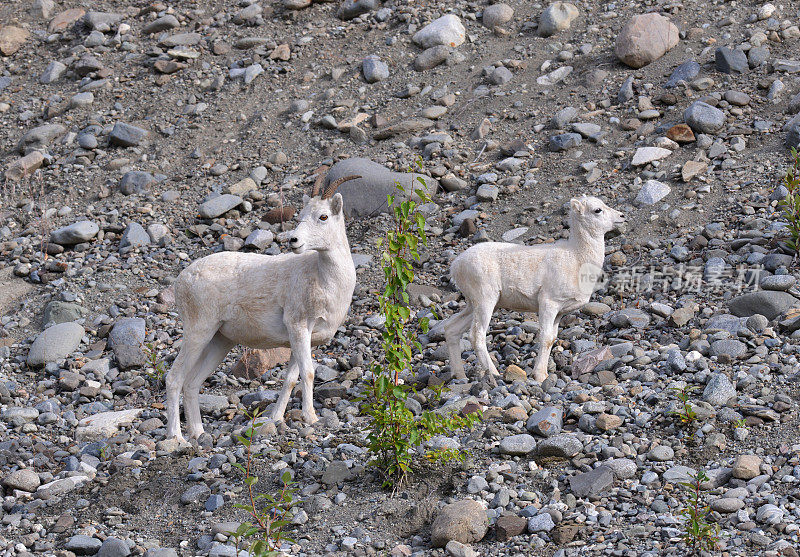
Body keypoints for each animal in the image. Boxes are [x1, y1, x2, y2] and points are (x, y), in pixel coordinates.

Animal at [166, 174, 360, 438]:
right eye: (301, 215)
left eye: (323, 216)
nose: (294, 241)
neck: (324, 280)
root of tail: (182, 280)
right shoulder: (298, 327)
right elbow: (308, 373)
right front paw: (311, 418)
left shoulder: (303, 339)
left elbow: (291, 378)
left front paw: (276, 418)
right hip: (198, 332)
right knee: (174, 378)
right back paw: (177, 438)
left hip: (219, 341)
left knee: (192, 383)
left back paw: (198, 434)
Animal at [444, 198, 624, 384]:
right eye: (597, 210)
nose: (621, 216)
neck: (576, 258)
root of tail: (456, 265)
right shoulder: (548, 304)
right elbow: (544, 337)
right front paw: (539, 376)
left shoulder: (559, 312)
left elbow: (551, 338)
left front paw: (544, 374)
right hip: (485, 300)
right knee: (476, 335)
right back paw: (493, 373)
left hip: (475, 304)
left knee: (451, 328)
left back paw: (459, 375)